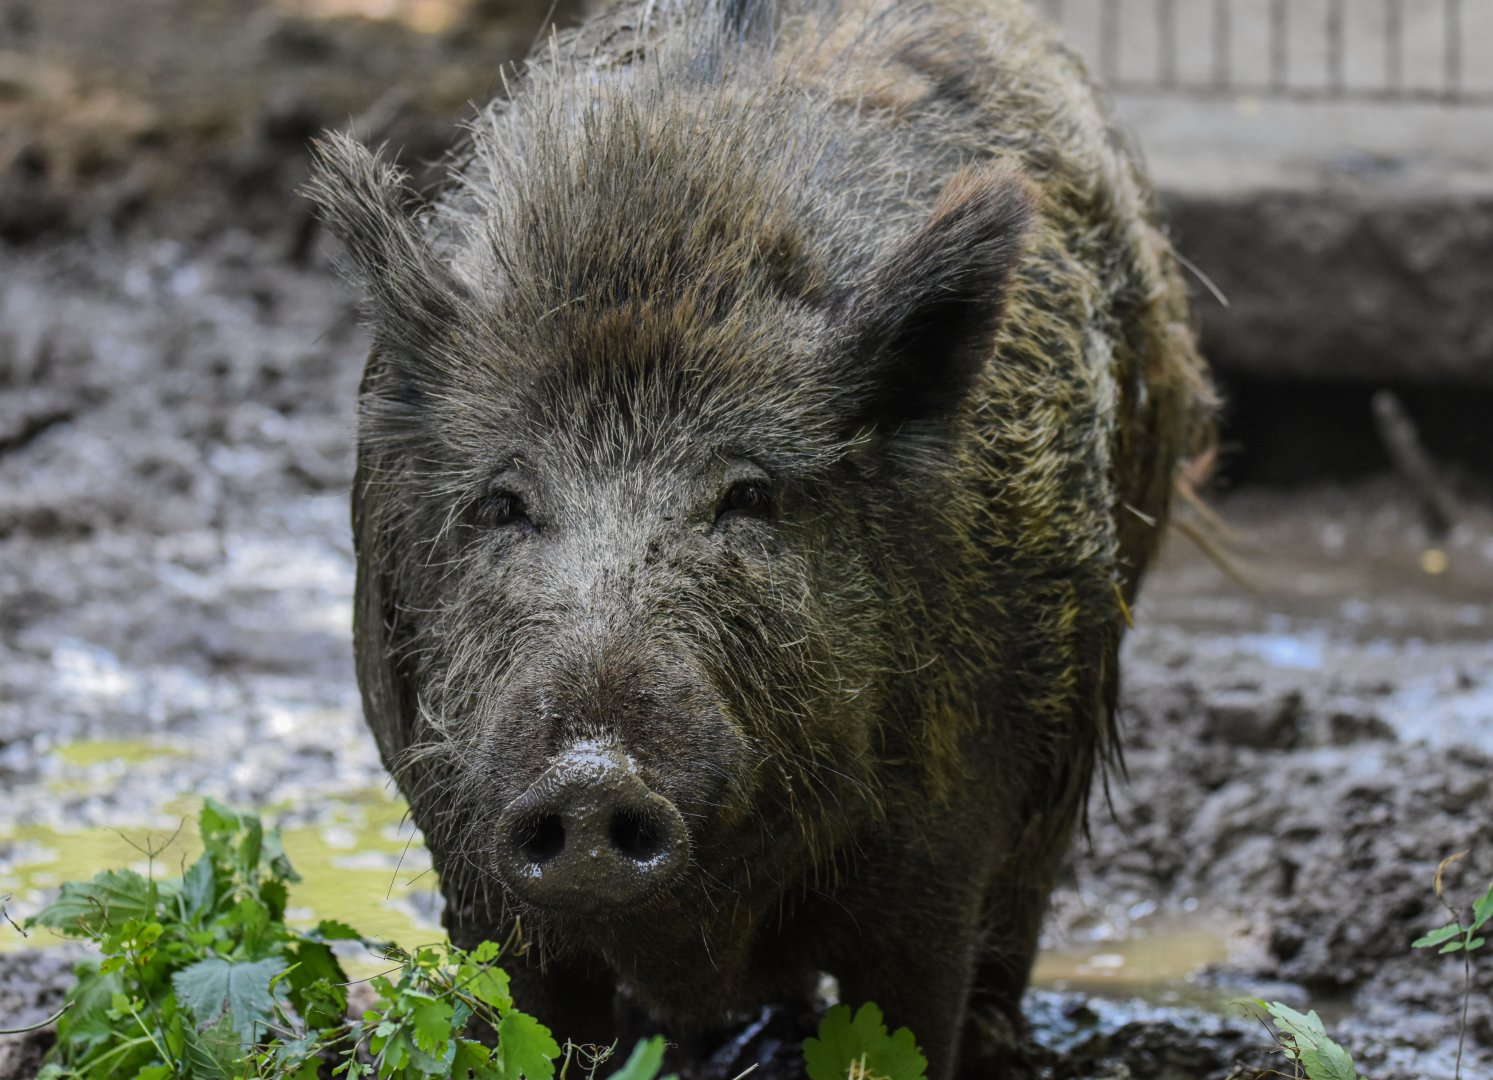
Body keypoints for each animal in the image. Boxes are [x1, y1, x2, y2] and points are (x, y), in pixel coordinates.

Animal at [308, 0, 1213, 1075]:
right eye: (502, 503)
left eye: (748, 494)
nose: (588, 775)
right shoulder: (471, 860)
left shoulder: (942, 843)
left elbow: (906, 1021)